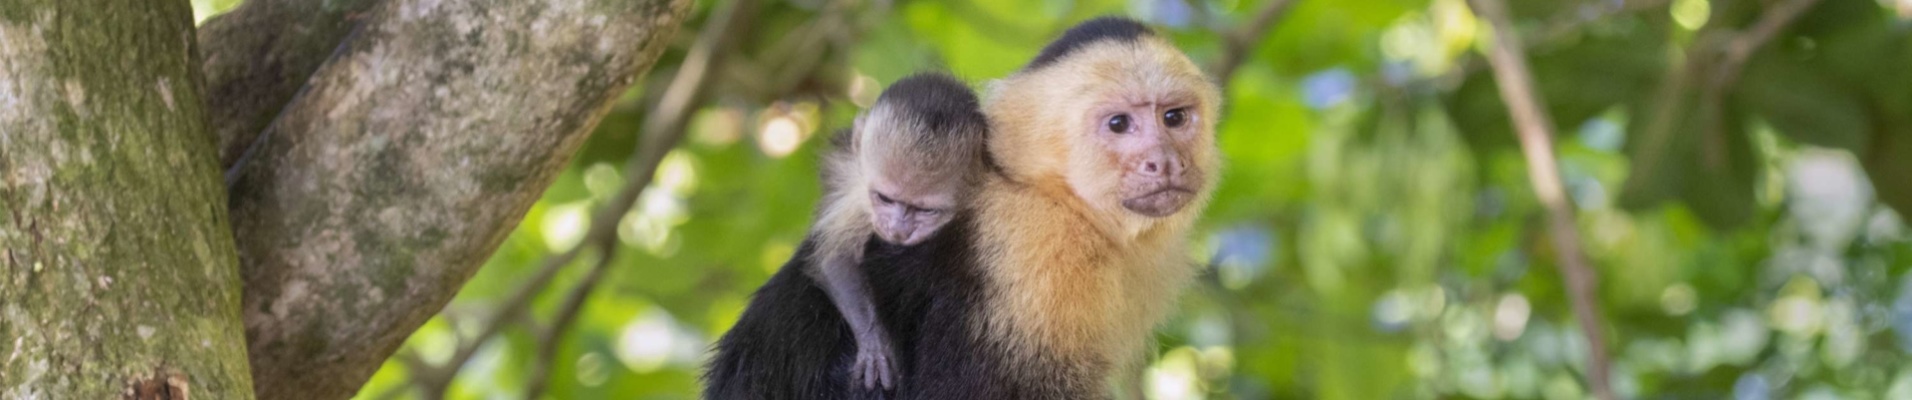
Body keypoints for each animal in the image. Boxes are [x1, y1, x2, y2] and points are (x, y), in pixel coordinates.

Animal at [803, 72, 986, 390]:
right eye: (885, 199)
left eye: (926, 211)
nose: (899, 231)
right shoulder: (861, 196)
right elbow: (835, 259)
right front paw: (875, 342)